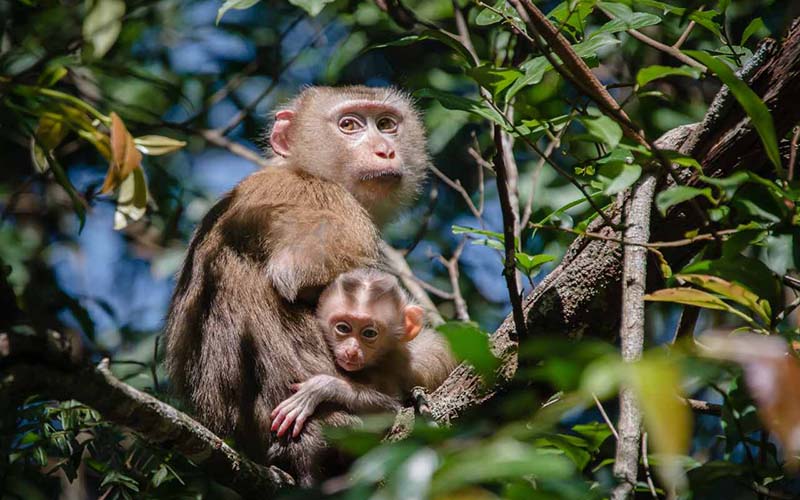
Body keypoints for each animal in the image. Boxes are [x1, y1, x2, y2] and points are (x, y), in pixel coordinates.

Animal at [272, 268, 454, 436]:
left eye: (369, 333)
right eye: (343, 328)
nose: (352, 350)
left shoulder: (395, 365)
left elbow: (393, 410)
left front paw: (321, 388)